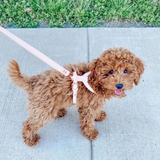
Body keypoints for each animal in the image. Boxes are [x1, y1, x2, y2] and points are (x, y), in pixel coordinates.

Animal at [7, 47, 144, 146]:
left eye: (126, 71)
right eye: (110, 71)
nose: (119, 85)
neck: (94, 80)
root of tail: (34, 80)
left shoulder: (94, 103)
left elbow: (96, 111)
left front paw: (99, 115)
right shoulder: (88, 107)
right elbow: (87, 121)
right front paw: (91, 133)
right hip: (43, 111)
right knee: (29, 124)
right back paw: (30, 140)